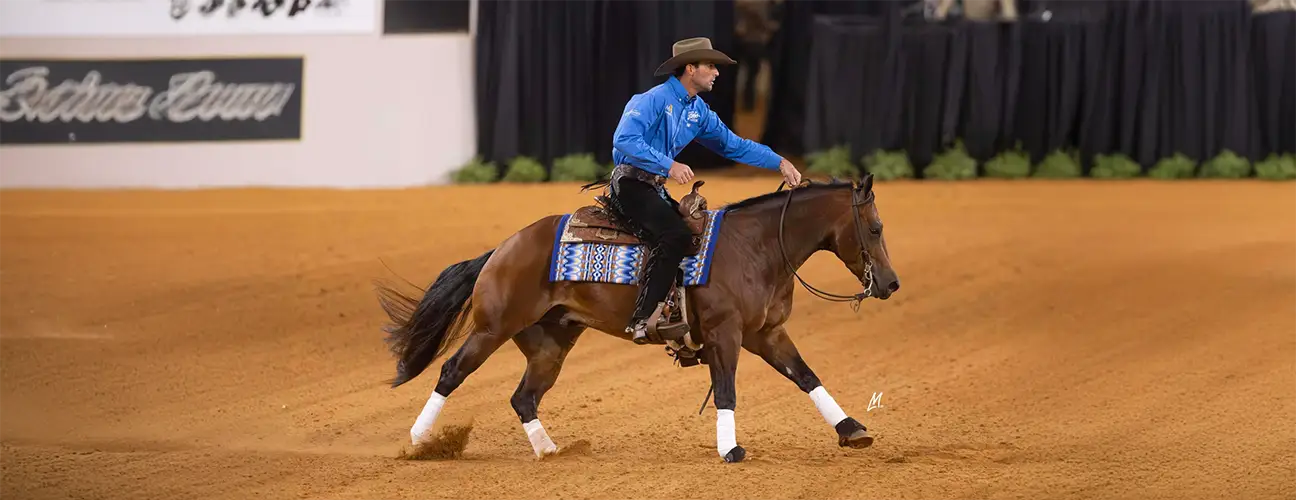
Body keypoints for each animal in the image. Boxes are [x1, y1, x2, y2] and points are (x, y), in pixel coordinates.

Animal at [373, 173, 900, 463]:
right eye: (875, 227)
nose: (891, 283)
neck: (754, 247)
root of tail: (501, 249)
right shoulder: (726, 336)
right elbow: (727, 391)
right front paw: (730, 450)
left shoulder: (768, 333)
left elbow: (807, 376)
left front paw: (852, 430)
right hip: (492, 328)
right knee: (451, 372)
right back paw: (418, 441)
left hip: (549, 343)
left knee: (523, 397)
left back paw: (548, 450)